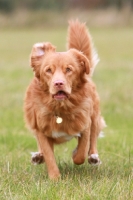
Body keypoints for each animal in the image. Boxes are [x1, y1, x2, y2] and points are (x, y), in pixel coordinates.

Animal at [23, 20, 105, 180]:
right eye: (48, 70)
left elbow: (81, 151)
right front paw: (55, 178)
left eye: (69, 69)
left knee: (93, 138)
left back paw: (93, 156)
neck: (60, 108)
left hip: (94, 115)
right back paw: (38, 156)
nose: (58, 83)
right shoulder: (41, 129)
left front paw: (76, 154)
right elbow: (49, 155)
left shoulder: (85, 123)